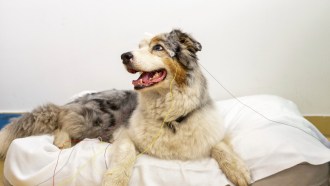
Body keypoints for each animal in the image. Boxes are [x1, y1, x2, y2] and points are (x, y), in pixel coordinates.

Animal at [102, 29, 251, 186]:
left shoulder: (211, 132)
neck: (172, 118)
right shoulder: (125, 133)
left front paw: (237, 168)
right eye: (139, 46)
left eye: (158, 47)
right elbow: (126, 151)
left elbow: (219, 145)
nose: (124, 56)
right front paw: (114, 178)